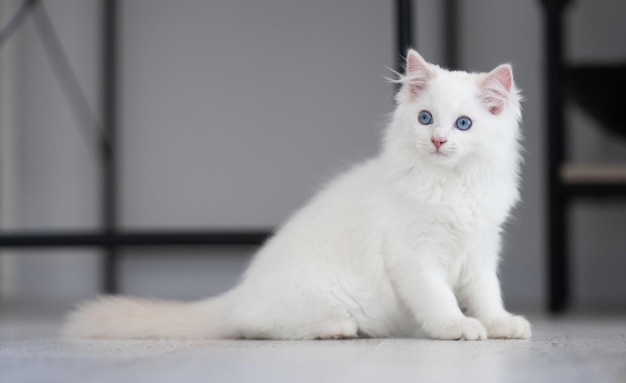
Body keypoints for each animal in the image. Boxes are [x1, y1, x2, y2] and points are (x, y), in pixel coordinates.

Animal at [63, 49, 528, 340]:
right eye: (425, 118)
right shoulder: (413, 255)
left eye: (463, 124)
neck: (451, 186)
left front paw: (501, 324)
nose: (437, 140)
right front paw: (457, 327)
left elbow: (487, 295)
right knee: (252, 325)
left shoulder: (481, 251)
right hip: (318, 297)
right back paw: (336, 329)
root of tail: (240, 291)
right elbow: (438, 298)